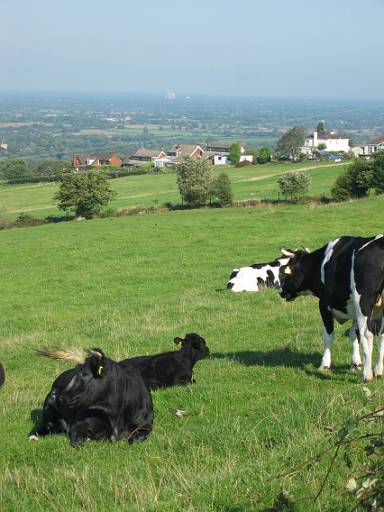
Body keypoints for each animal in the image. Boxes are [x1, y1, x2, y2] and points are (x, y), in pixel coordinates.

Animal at [278, 236, 384, 380]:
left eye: (286, 273)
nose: (281, 292)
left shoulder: (324, 305)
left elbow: (328, 335)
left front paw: (324, 365)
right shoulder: (354, 310)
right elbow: (354, 334)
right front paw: (355, 364)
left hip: (364, 303)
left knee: (367, 334)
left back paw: (367, 376)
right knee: (381, 334)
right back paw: (378, 370)